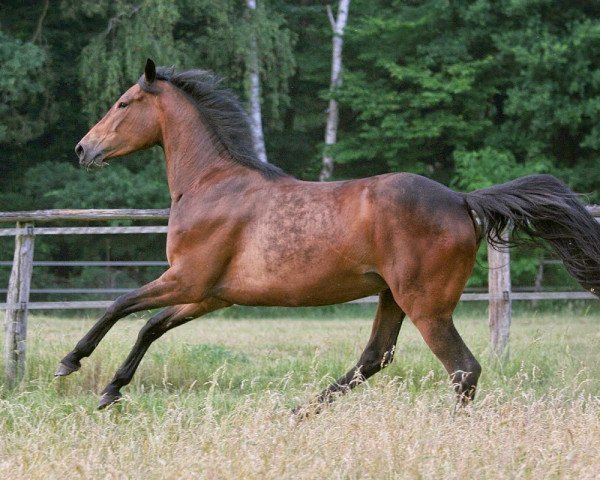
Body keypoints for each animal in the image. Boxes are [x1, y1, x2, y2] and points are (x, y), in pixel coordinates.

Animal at [57, 59, 600, 408]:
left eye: (123, 103)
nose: (82, 148)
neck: (211, 182)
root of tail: (461, 201)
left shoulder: (188, 278)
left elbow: (120, 305)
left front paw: (72, 362)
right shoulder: (210, 294)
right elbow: (150, 325)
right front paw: (111, 390)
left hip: (426, 305)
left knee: (462, 369)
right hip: (392, 297)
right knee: (375, 358)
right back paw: (301, 411)